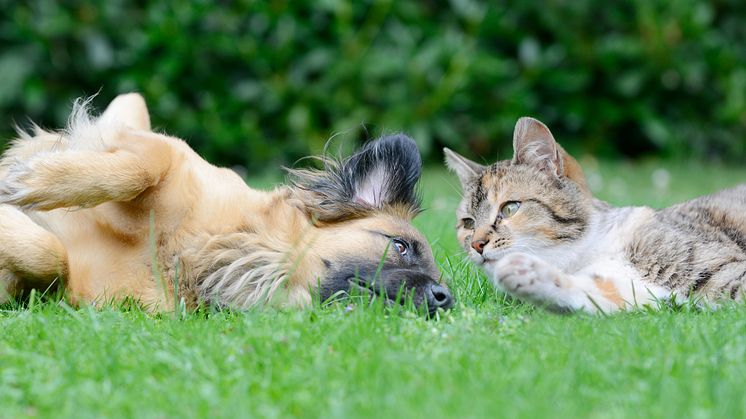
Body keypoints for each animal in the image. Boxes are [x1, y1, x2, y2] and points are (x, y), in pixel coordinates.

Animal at [0, 92, 450, 316]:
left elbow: (51, 258)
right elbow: (138, 167)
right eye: (400, 246)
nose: (446, 298)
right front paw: (30, 180)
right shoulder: (157, 150)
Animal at [444, 116, 740, 314]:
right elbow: (601, 293)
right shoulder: (639, 291)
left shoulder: (721, 270)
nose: (476, 244)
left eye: (510, 208)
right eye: (468, 223)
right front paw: (531, 276)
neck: (587, 252)